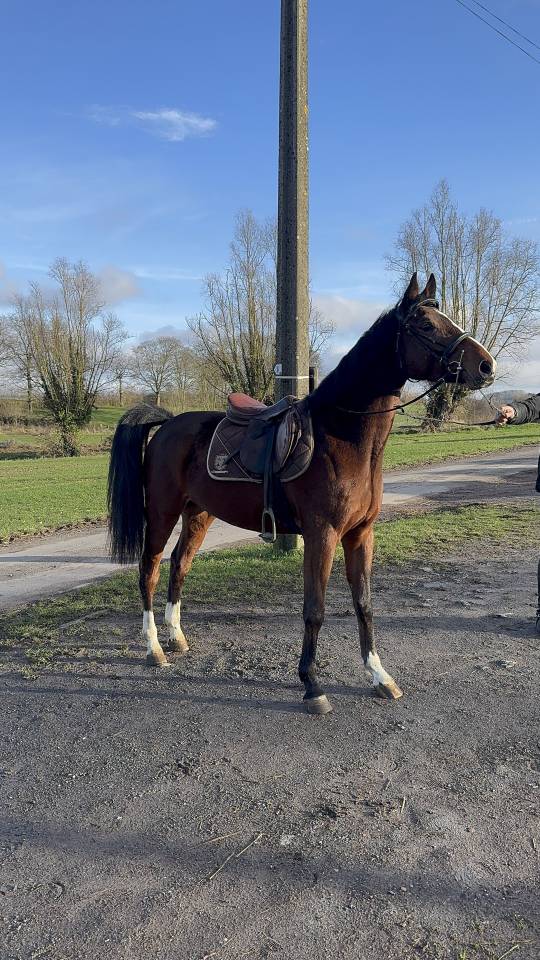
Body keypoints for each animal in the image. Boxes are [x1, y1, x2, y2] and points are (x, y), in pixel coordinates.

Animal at [107, 273, 496, 714]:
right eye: (427, 325)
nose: (486, 365)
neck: (341, 439)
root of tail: (169, 423)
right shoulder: (321, 535)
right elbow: (315, 609)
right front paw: (312, 685)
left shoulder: (361, 534)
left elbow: (364, 603)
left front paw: (379, 675)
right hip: (162, 512)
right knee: (150, 569)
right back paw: (154, 648)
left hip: (198, 513)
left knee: (179, 564)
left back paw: (176, 638)